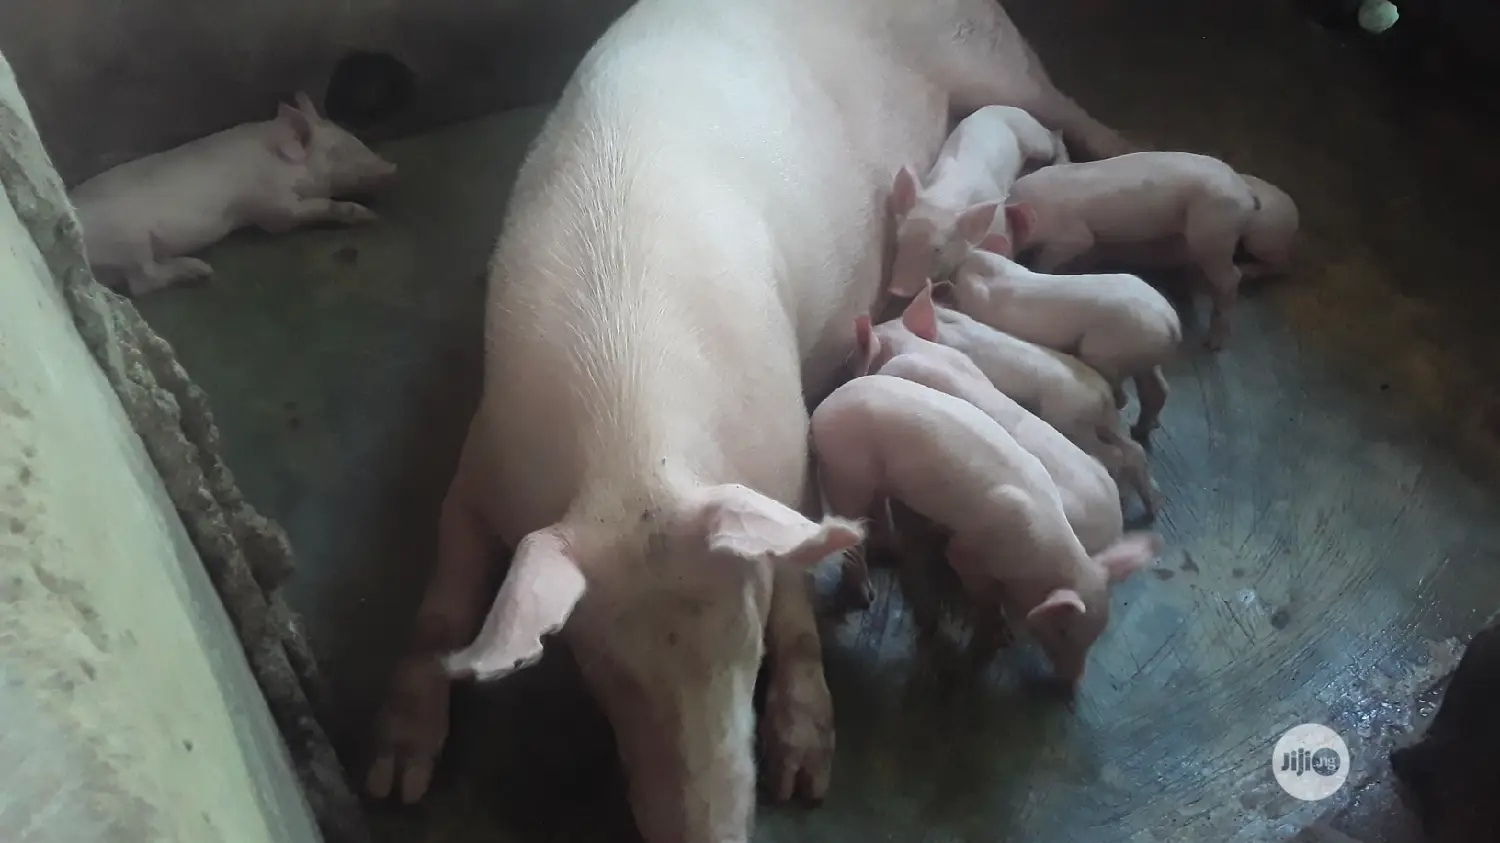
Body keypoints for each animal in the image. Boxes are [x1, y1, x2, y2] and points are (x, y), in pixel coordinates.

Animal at [70, 92, 398, 297]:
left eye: (354, 138)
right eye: (339, 152)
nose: (393, 168)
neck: (280, 161)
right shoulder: (269, 205)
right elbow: (299, 213)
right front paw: (369, 217)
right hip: (129, 239)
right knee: (143, 281)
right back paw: (201, 271)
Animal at [811, 374, 1160, 686]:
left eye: (1096, 635)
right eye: (1062, 630)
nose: (1072, 682)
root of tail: (822, 409)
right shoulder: (967, 551)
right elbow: (982, 593)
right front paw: (999, 635)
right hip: (846, 474)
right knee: (852, 532)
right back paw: (865, 595)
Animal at [888, 106, 1068, 297]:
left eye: (938, 249)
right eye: (900, 239)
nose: (896, 290)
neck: (947, 197)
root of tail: (1003, 107)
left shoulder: (1000, 219)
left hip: (1035, 139)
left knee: (1053, 136)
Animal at [949, 248, 1182, 442]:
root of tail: (1172, 325)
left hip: (1113, 344)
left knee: (1119, 386)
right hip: (1145, 348)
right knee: (1154, 386)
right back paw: (1141, 430)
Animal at [1004, 151, 1277, 350]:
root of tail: (1246, 192)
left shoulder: (1072, 235)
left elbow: (1056, 255)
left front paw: (1039, 267)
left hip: (1212, 232)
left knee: (1231, 278)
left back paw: (1212, 343)